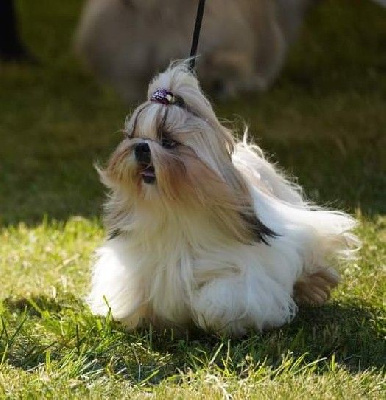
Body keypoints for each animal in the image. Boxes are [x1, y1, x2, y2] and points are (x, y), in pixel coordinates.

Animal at [87, 63, 358, 338]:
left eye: (168, 141)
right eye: (131, 136)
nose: (141, 146)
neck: (175, 211)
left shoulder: (244, 277)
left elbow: (222, 297)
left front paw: (210, 316)